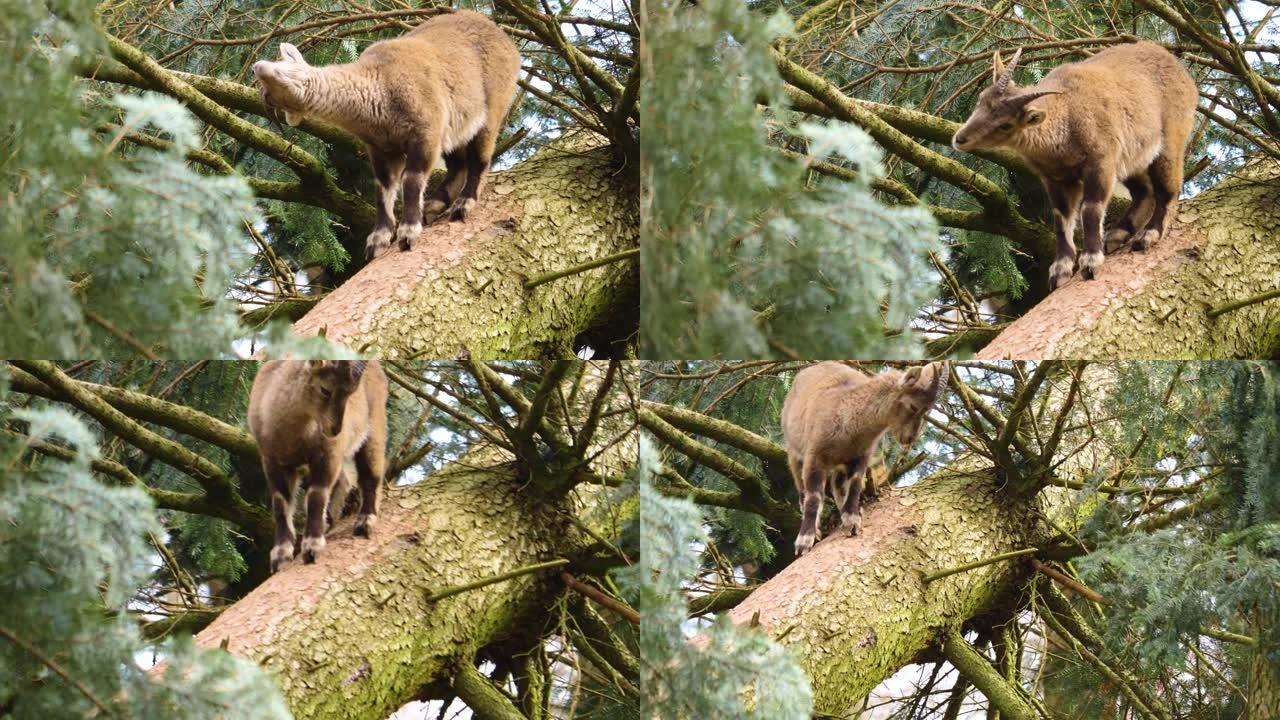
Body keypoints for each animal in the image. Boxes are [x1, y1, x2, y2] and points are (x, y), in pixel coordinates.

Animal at [247, 358, 386, 571]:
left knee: (371, 476)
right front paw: (280, 555)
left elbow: (316, 496)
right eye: (325, 389)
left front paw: (312, 547)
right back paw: (329, 520)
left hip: (373, 427)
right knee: (345, 481)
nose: (336, 429)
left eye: (351, 393)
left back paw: (365, 522)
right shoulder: (272, 461)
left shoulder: (328, 454)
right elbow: (280, 504)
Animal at [252, 10, 517, 257]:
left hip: (492, 107)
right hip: (456, 128)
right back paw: (434, 204)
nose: (257, 66)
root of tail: (509, 44)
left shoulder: (426, 130)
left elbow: (411, 179)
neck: (379, 91)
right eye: (269, 97)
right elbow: (383, 187)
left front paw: (408, 232)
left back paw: (463, 204)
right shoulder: (382, 148)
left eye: (284, 63)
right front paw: (378, 239)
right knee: (457, 164)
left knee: (480, 158)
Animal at [773, 363, 947, 556]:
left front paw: (852, 520)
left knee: (837, 484)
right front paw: (804, 541)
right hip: (794, 452)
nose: (909, 439)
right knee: (803, 491)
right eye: (914, 406)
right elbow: (813, 498)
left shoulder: (861, 456)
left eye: (927, 411)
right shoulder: (814, 457)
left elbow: (855, 485)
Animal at [952, 41, 1198, 286]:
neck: (1066, 117)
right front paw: (1060, 270)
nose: (960, 138)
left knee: (1167, 189)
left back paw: (1148, 235)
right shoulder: (1054, 178)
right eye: (981, 99)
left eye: (1006, 125)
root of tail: (1181, 71)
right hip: (1132, 158)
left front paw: (1090, 261)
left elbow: (1090, 208)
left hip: (1170, 139)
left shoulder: (1100, 161)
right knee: (1144, 191)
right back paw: (1117, 234)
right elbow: (1061, 218)